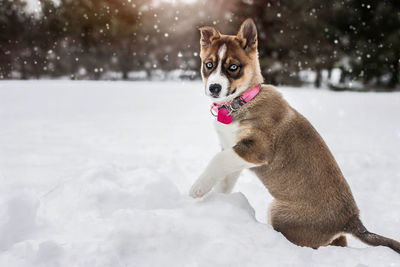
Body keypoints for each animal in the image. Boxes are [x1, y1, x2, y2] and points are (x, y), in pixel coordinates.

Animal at [190, 18, 400, 253]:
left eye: (233, 67)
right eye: (209, 64)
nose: (214, 88)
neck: (242, 102)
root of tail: (352, 221)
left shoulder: (258, 149)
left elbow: (216, 160)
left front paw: (197, 188)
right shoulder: (233, 152)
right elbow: (224, 180)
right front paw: (217, 201)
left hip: (280, 213)